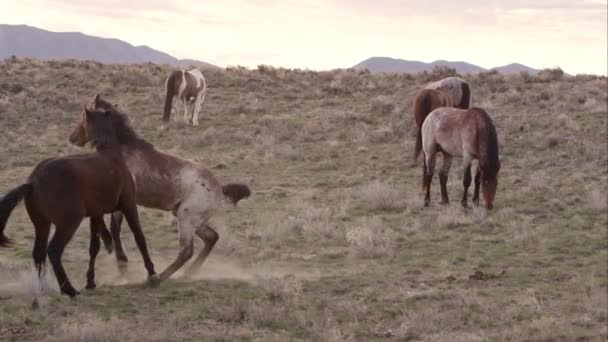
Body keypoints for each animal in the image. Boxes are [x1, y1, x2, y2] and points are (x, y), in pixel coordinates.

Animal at [0, 107, 159, 296]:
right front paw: (152, 273)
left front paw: (90, 281)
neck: (111, 157)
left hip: (42, 224)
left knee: (38, 252)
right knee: (53, 251)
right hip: (68, 223)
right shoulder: (128, 205)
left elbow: (94, 247)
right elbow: (139, 237)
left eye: (82, 122)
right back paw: (68, 289)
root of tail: (34, 181)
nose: (72, 137)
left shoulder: (96, 214)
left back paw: (44, 288)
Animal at [70, 95, 251, 282]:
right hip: (190, 218)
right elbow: (112, 226)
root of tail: (219, 189)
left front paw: (121, 262)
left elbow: (113, 228)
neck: (120, 153)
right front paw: (121, 264)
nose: (72, 137)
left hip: (186, 218)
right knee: (211, 238)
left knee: (186, 251)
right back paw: (188, 273)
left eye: (83, 117)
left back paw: (157, 278)